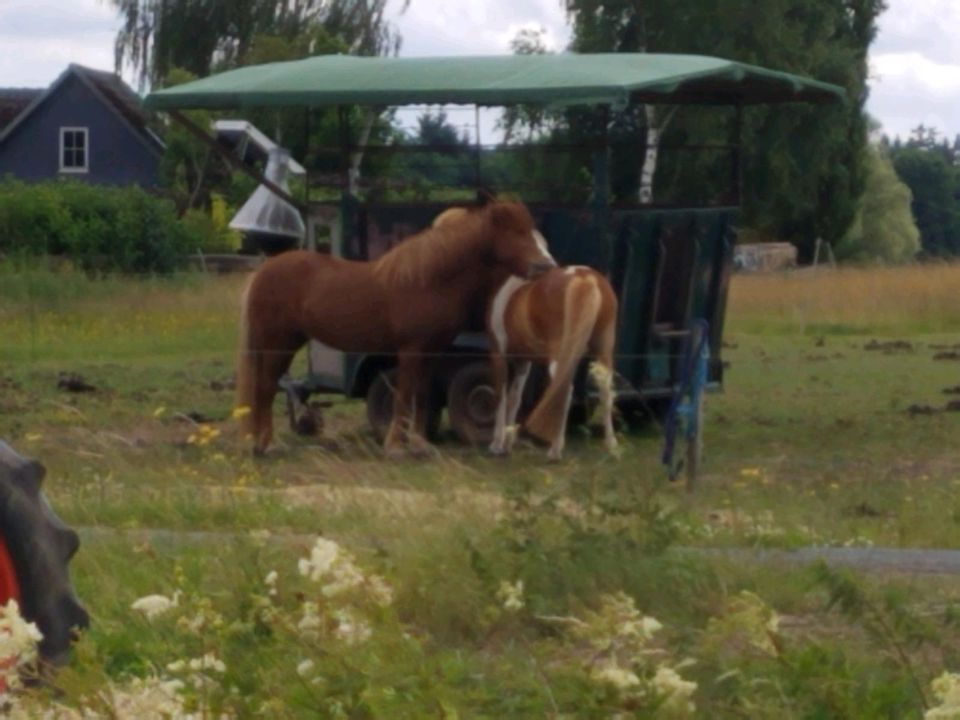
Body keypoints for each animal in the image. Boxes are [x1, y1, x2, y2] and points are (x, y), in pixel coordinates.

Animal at [235, 197, 560, 456]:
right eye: (517, 231)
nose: (547, 266)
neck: (428, 281)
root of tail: (265, 270)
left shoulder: (430, 354)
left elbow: (422, 396)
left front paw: (419, 443)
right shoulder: (411, 351)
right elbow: (404, 397)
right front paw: (395, 447)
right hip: (280, 344)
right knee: (265, 388)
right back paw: (269, 445)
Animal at [488, 266, 624, 462]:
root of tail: (584, 277)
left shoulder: (498, 355)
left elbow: (501, 397)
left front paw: (497, 444)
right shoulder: (523, 361)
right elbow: (514, 398)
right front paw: (507, 443)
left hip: (559, 357)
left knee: (564, 391)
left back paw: (555, 450)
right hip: (602, 351)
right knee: (606, 391)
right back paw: (611, 445)